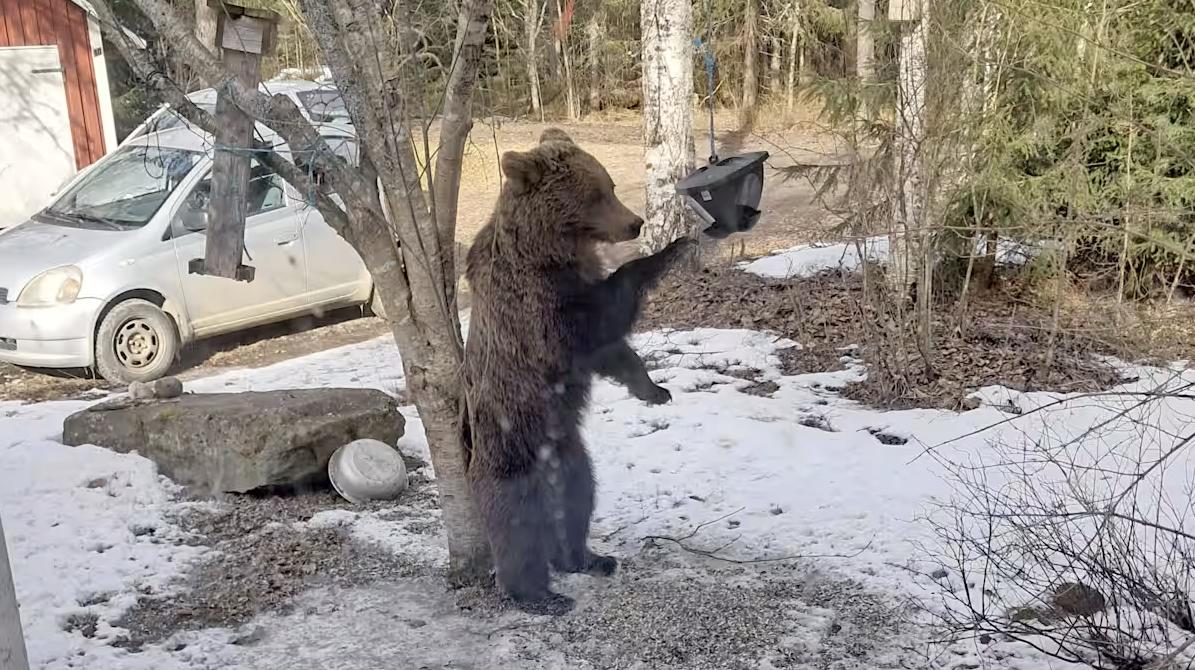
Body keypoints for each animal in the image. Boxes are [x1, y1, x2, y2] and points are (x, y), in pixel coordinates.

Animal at [463, 128, 695, 614]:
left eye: (609, 184)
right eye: (594, 195)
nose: (635, 223)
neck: (554, 251)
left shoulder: (575, 292)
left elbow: (613, 352)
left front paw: (655, 390)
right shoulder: (537, 306)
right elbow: (596, 322)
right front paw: (672, 248)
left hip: (570, 451)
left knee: (579, 495)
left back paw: (585, 557)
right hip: (513, 446)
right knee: (516, 524)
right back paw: (537, 594)